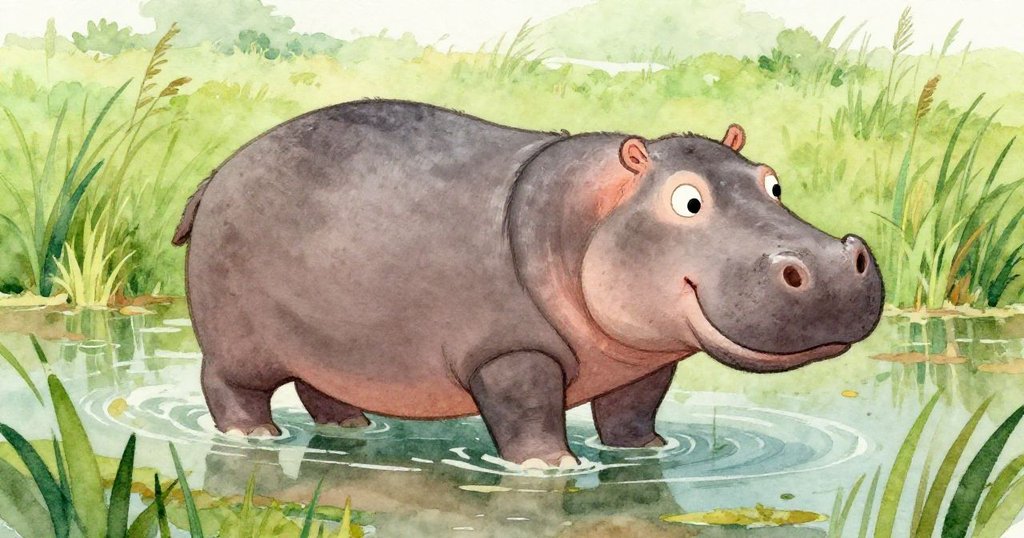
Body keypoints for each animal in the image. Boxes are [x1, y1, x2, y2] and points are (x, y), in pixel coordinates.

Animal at [172, 99, 883, 468]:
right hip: (239, 342)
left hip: (335, 341)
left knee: (322, 387)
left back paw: (355, 429)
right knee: (227, 385)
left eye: (773, 182)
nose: (828, 262)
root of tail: (215, 174)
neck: (591, 212)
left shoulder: (646, 359)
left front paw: (648, 451)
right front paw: (554, 468)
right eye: (687, 201)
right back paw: (255, 438)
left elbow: (632, 408)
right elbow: (527, 411)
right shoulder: (512, 352)